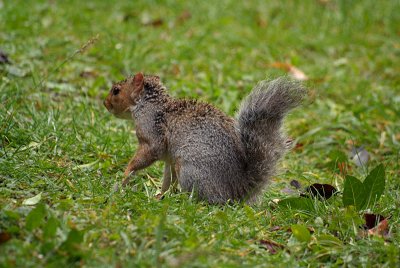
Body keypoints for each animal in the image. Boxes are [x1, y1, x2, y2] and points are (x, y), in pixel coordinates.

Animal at [104, 72, 306, 204]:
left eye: (116, 90)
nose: (105, 103)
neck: (148, 105)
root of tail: (236, 191)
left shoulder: (152, 134)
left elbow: (148, 153)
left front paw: (125, 174)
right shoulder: (169, 160)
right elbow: (168, 179)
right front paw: (160, 194)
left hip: (190, 169)